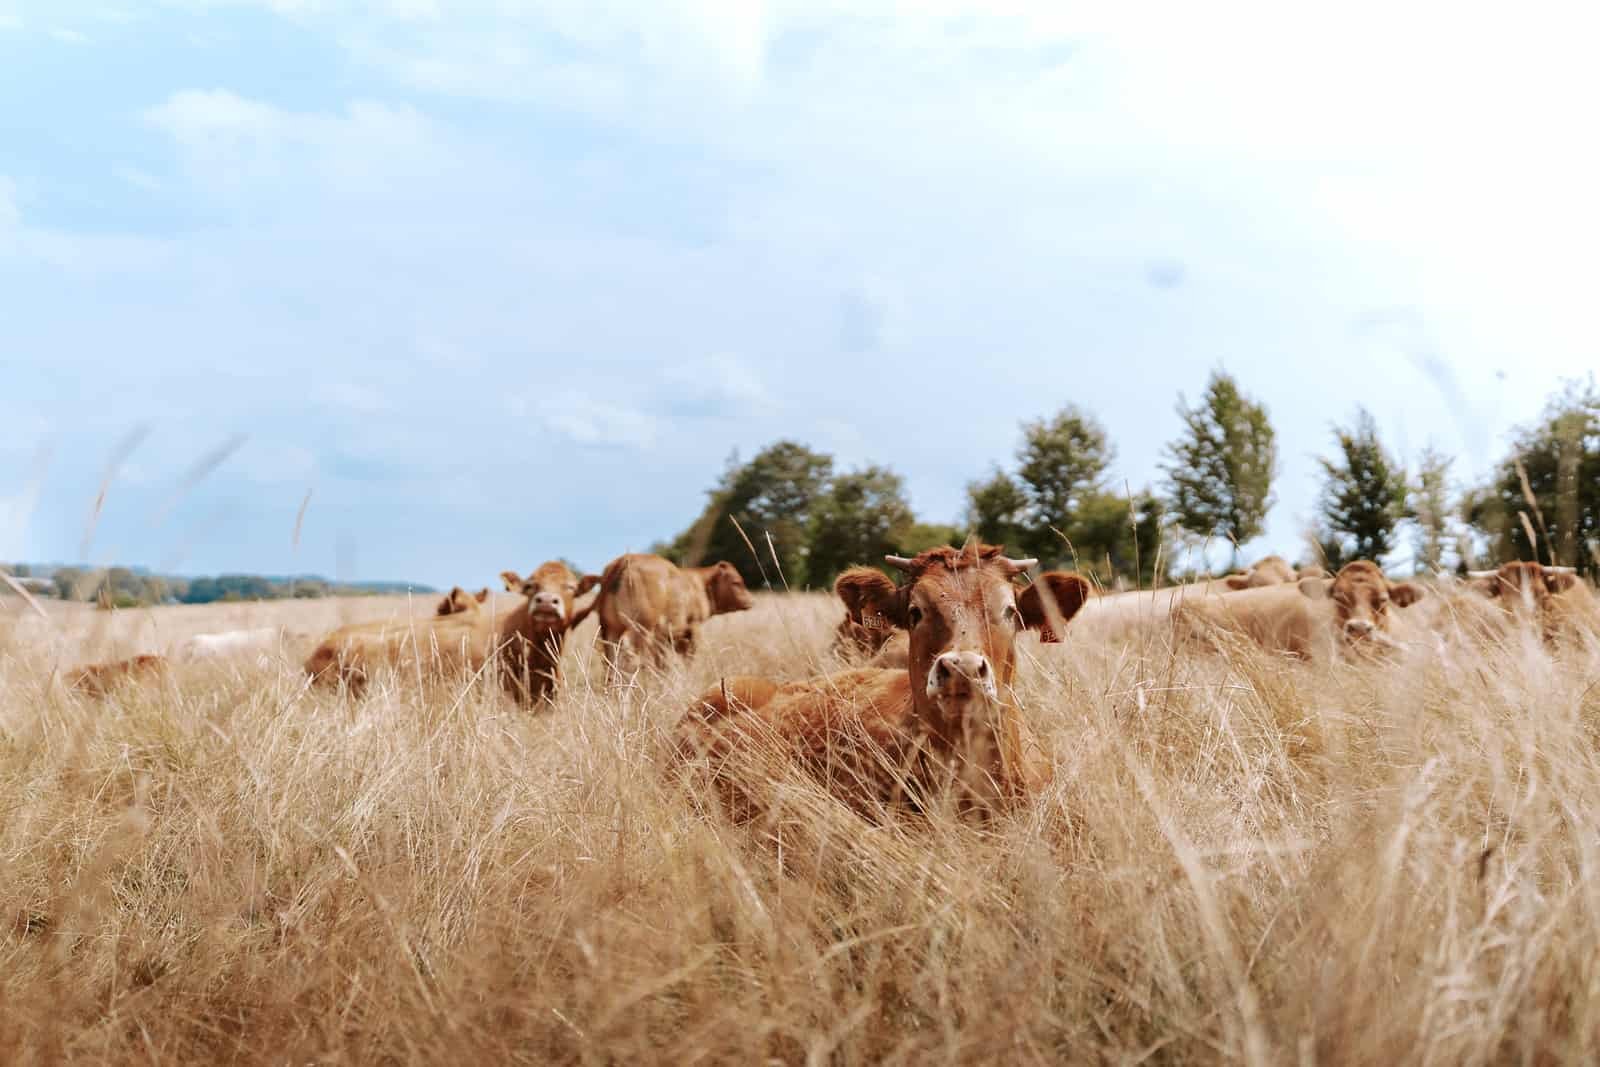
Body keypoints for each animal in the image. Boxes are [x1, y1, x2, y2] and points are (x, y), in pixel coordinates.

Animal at [572, 553, 754, 683]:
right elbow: (688, 658)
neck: (698, 585)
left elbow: (662, 663)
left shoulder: (663, 637)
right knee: (630, 657)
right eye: (736, 582)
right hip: (641, 627)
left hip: (611, 628)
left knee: (611, 660)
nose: (751, 601)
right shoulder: (692, 628)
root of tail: (622, 561)